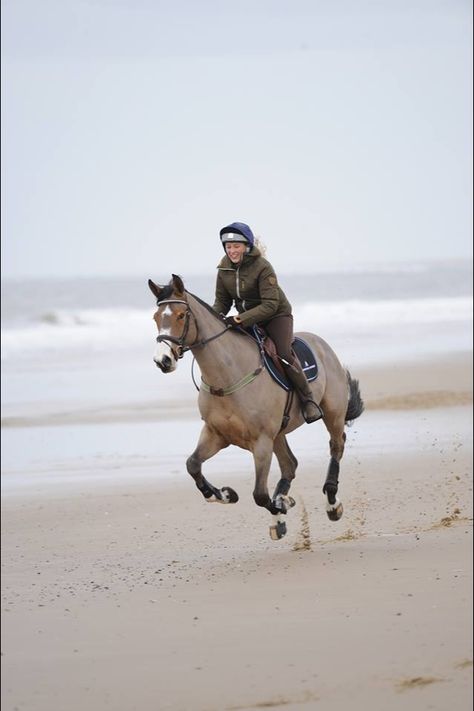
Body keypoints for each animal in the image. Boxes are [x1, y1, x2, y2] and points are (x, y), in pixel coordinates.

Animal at [148, 276, 362, 544]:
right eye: (156, 317)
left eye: (180, 315)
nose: (163, 360)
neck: (226, 376)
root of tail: (321, 343)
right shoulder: (216, 434)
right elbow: (192, 465)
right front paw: (224, 495)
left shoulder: (261, 442)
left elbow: (259, 494)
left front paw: (280, 507)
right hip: (279, 433)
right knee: (290, 465)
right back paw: (281, 505)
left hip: (331, 412)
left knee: (336, 445)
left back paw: (331, 504)